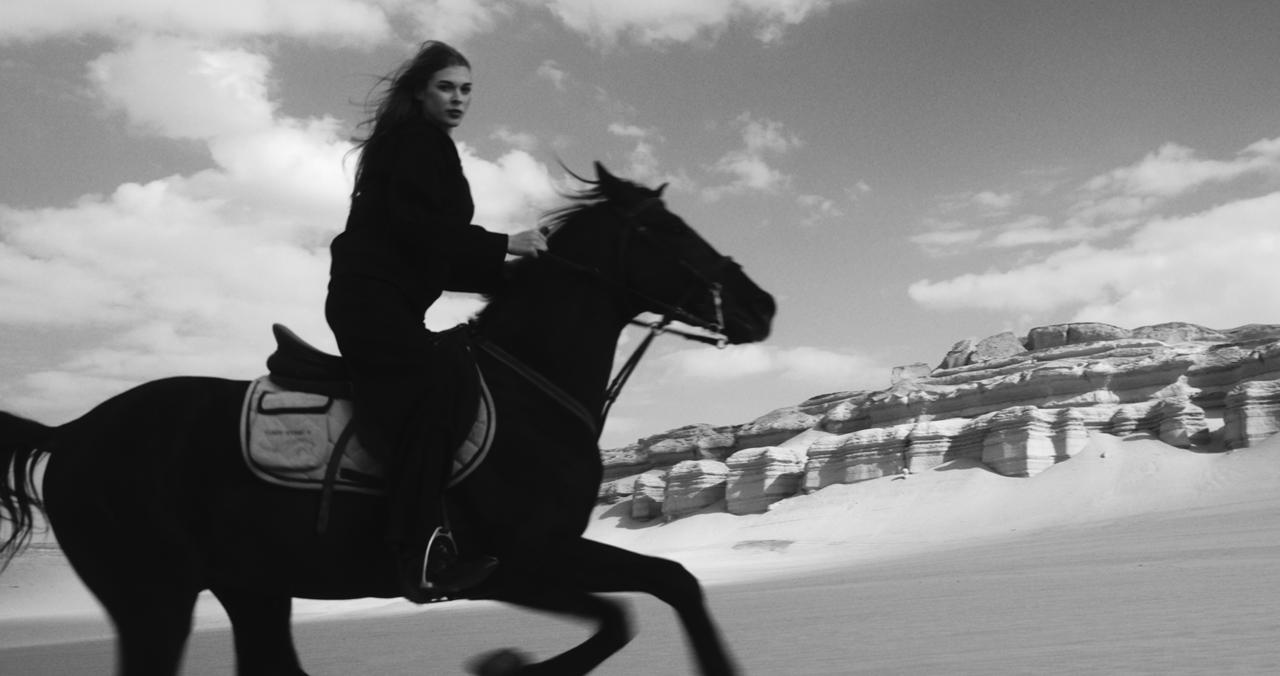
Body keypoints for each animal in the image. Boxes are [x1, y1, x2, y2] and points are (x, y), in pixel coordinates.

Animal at [0, 162, 776, 676]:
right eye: (667, 230)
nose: (761, 304)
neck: (531, 385)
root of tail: (72, 432)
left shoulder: (549, 553)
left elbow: (673, 580)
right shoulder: (512, 565)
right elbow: (623, 614)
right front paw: (503, 663)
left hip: (251, 586)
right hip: (152, 597)